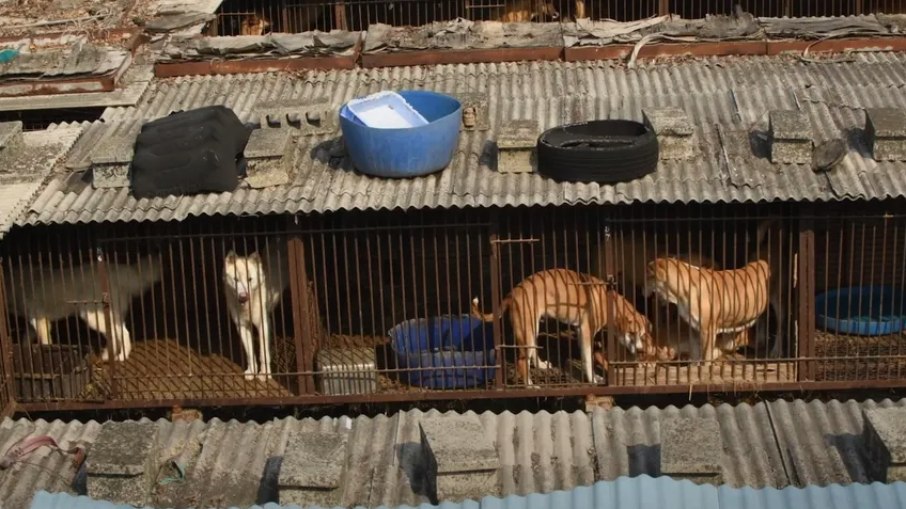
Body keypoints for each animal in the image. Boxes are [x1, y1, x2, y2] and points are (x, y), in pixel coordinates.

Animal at [2, 254, 162, 362]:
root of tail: (115, 268)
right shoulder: (33, 323)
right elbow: (25, 341)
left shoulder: (40, 320)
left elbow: (46, 343)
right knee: (115, 334)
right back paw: (107, 356)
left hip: (92, 316)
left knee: (123, 333)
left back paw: (122, 356)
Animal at [222, 243, 288, 380]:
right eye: (235, 279)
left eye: (249, 279)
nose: (243, 297)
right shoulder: (242, 326)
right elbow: (249, 353)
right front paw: (252, 371)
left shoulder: (263, 324)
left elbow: (263, 353)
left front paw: (264, 374)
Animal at [470, 268, 652, 382]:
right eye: (632, 333)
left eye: (642, 335)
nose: (640, 350)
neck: (610, 303)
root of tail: (514, 291)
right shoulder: (586, 331)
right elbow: (588, 360)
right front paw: (593, 379)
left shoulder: (580, 332)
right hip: (527, 330)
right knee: (522, 363)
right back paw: (531, 386)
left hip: (532, 328)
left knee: (532, 352)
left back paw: (541, 366)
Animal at [640, 256, 768, 368]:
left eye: (647, 275)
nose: (641, 288)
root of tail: (762, 261)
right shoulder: (694, 327)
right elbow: (696, 351)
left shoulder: (708, 328)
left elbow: (706, 355)